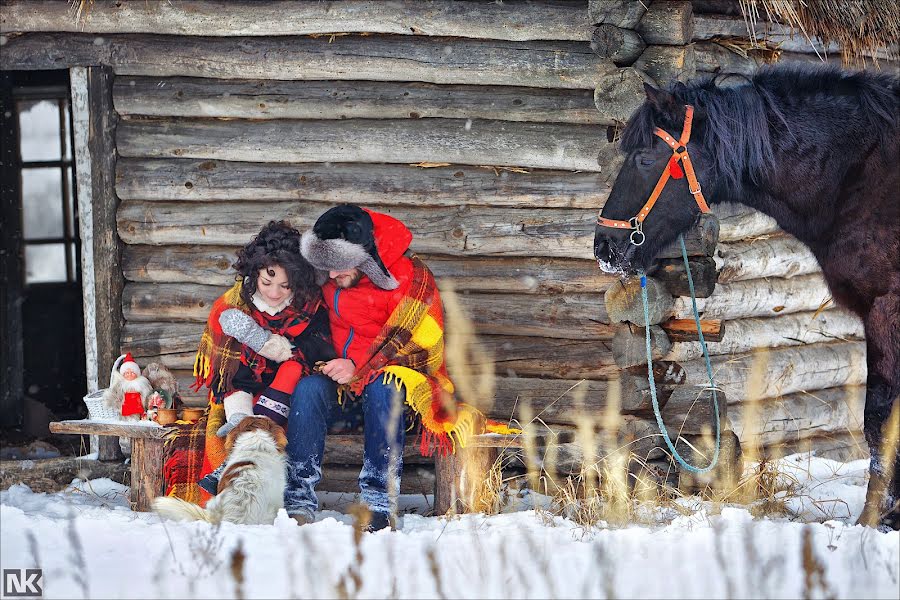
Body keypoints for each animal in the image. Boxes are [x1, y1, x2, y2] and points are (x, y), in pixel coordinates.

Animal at [596, 65, 896, 528]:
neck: (862, 177)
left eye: (644, 159)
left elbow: (878, 421)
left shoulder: (885, 307)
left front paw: (873, 519)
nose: (603, 247)